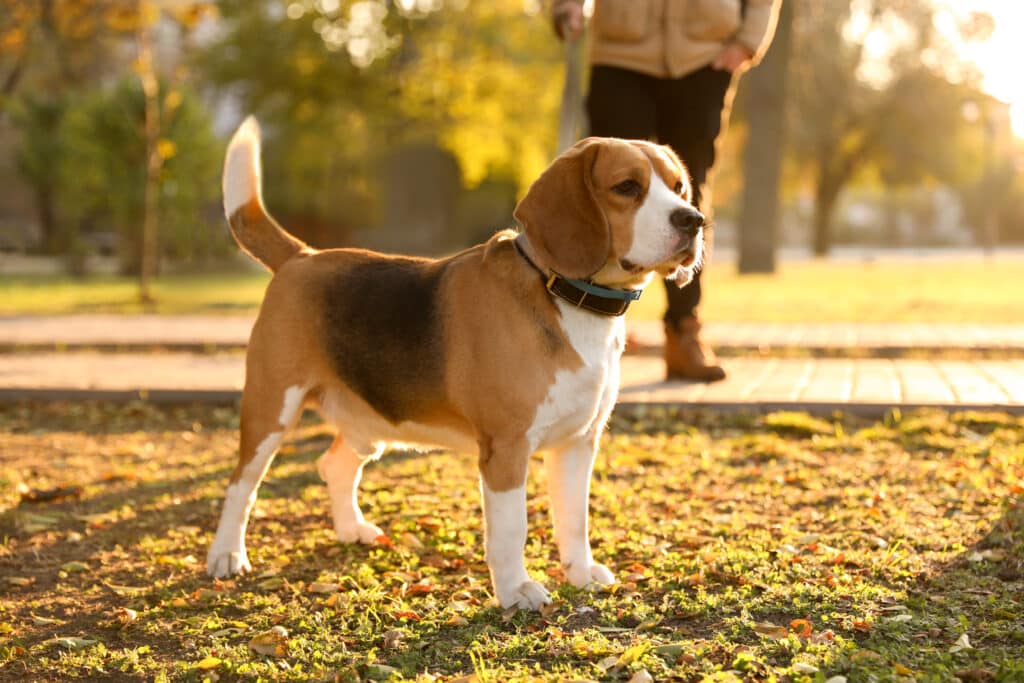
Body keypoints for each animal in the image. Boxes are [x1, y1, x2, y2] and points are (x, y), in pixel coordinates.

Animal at [207, 117, 704, 610]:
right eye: (627, 187)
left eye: (679, 187)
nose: (694, 220)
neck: (564, 294)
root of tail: (301, 257)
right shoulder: (506, 447)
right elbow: (512, 529)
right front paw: (516, 591)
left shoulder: (578, 443)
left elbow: (574, 520)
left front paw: (580, 574)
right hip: (270, 409)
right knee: (240, 485)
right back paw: (227, 555)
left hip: (367, 422)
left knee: (335, 465)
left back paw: (351, 530)